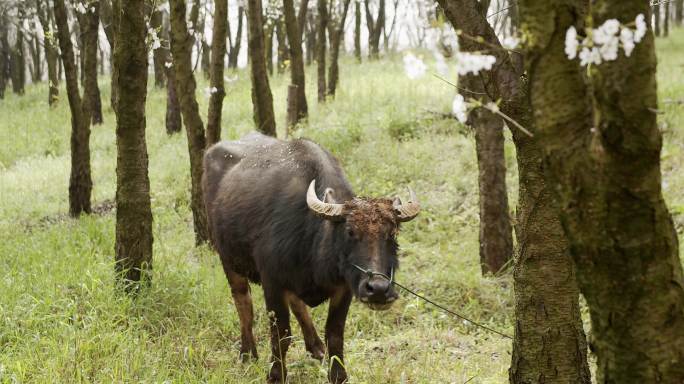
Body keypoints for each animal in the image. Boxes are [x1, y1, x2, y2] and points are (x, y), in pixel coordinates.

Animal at [200, 131, 420, 380]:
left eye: (392, 233)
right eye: (349, 231)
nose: (379, 289)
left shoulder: (344, 288)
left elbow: (334, 333)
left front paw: (338, 375)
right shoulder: (272, 282)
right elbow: (281, 334)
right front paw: (276, 374)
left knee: (296, 303)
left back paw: (316, 348)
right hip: (228, 258)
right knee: (243, 302)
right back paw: (247, 353)